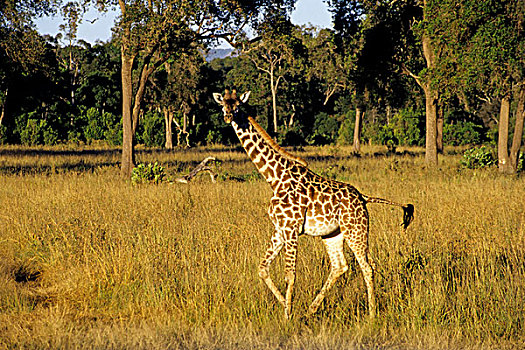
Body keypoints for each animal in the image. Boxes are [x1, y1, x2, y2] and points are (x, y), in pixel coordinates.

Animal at [211, 89, 412, 318]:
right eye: (223, 105)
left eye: (237, 106)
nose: (228, 116)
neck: (275, 178)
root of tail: (363, 197)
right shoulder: (280, 229)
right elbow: (262, 268)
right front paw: (285, 304)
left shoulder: (291, 229)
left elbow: (290, 274)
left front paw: (287, 315)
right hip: (333, 234)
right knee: (340, 266)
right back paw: (311, 309)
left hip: (356, 230)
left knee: (367, 267)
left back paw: (371, 314)